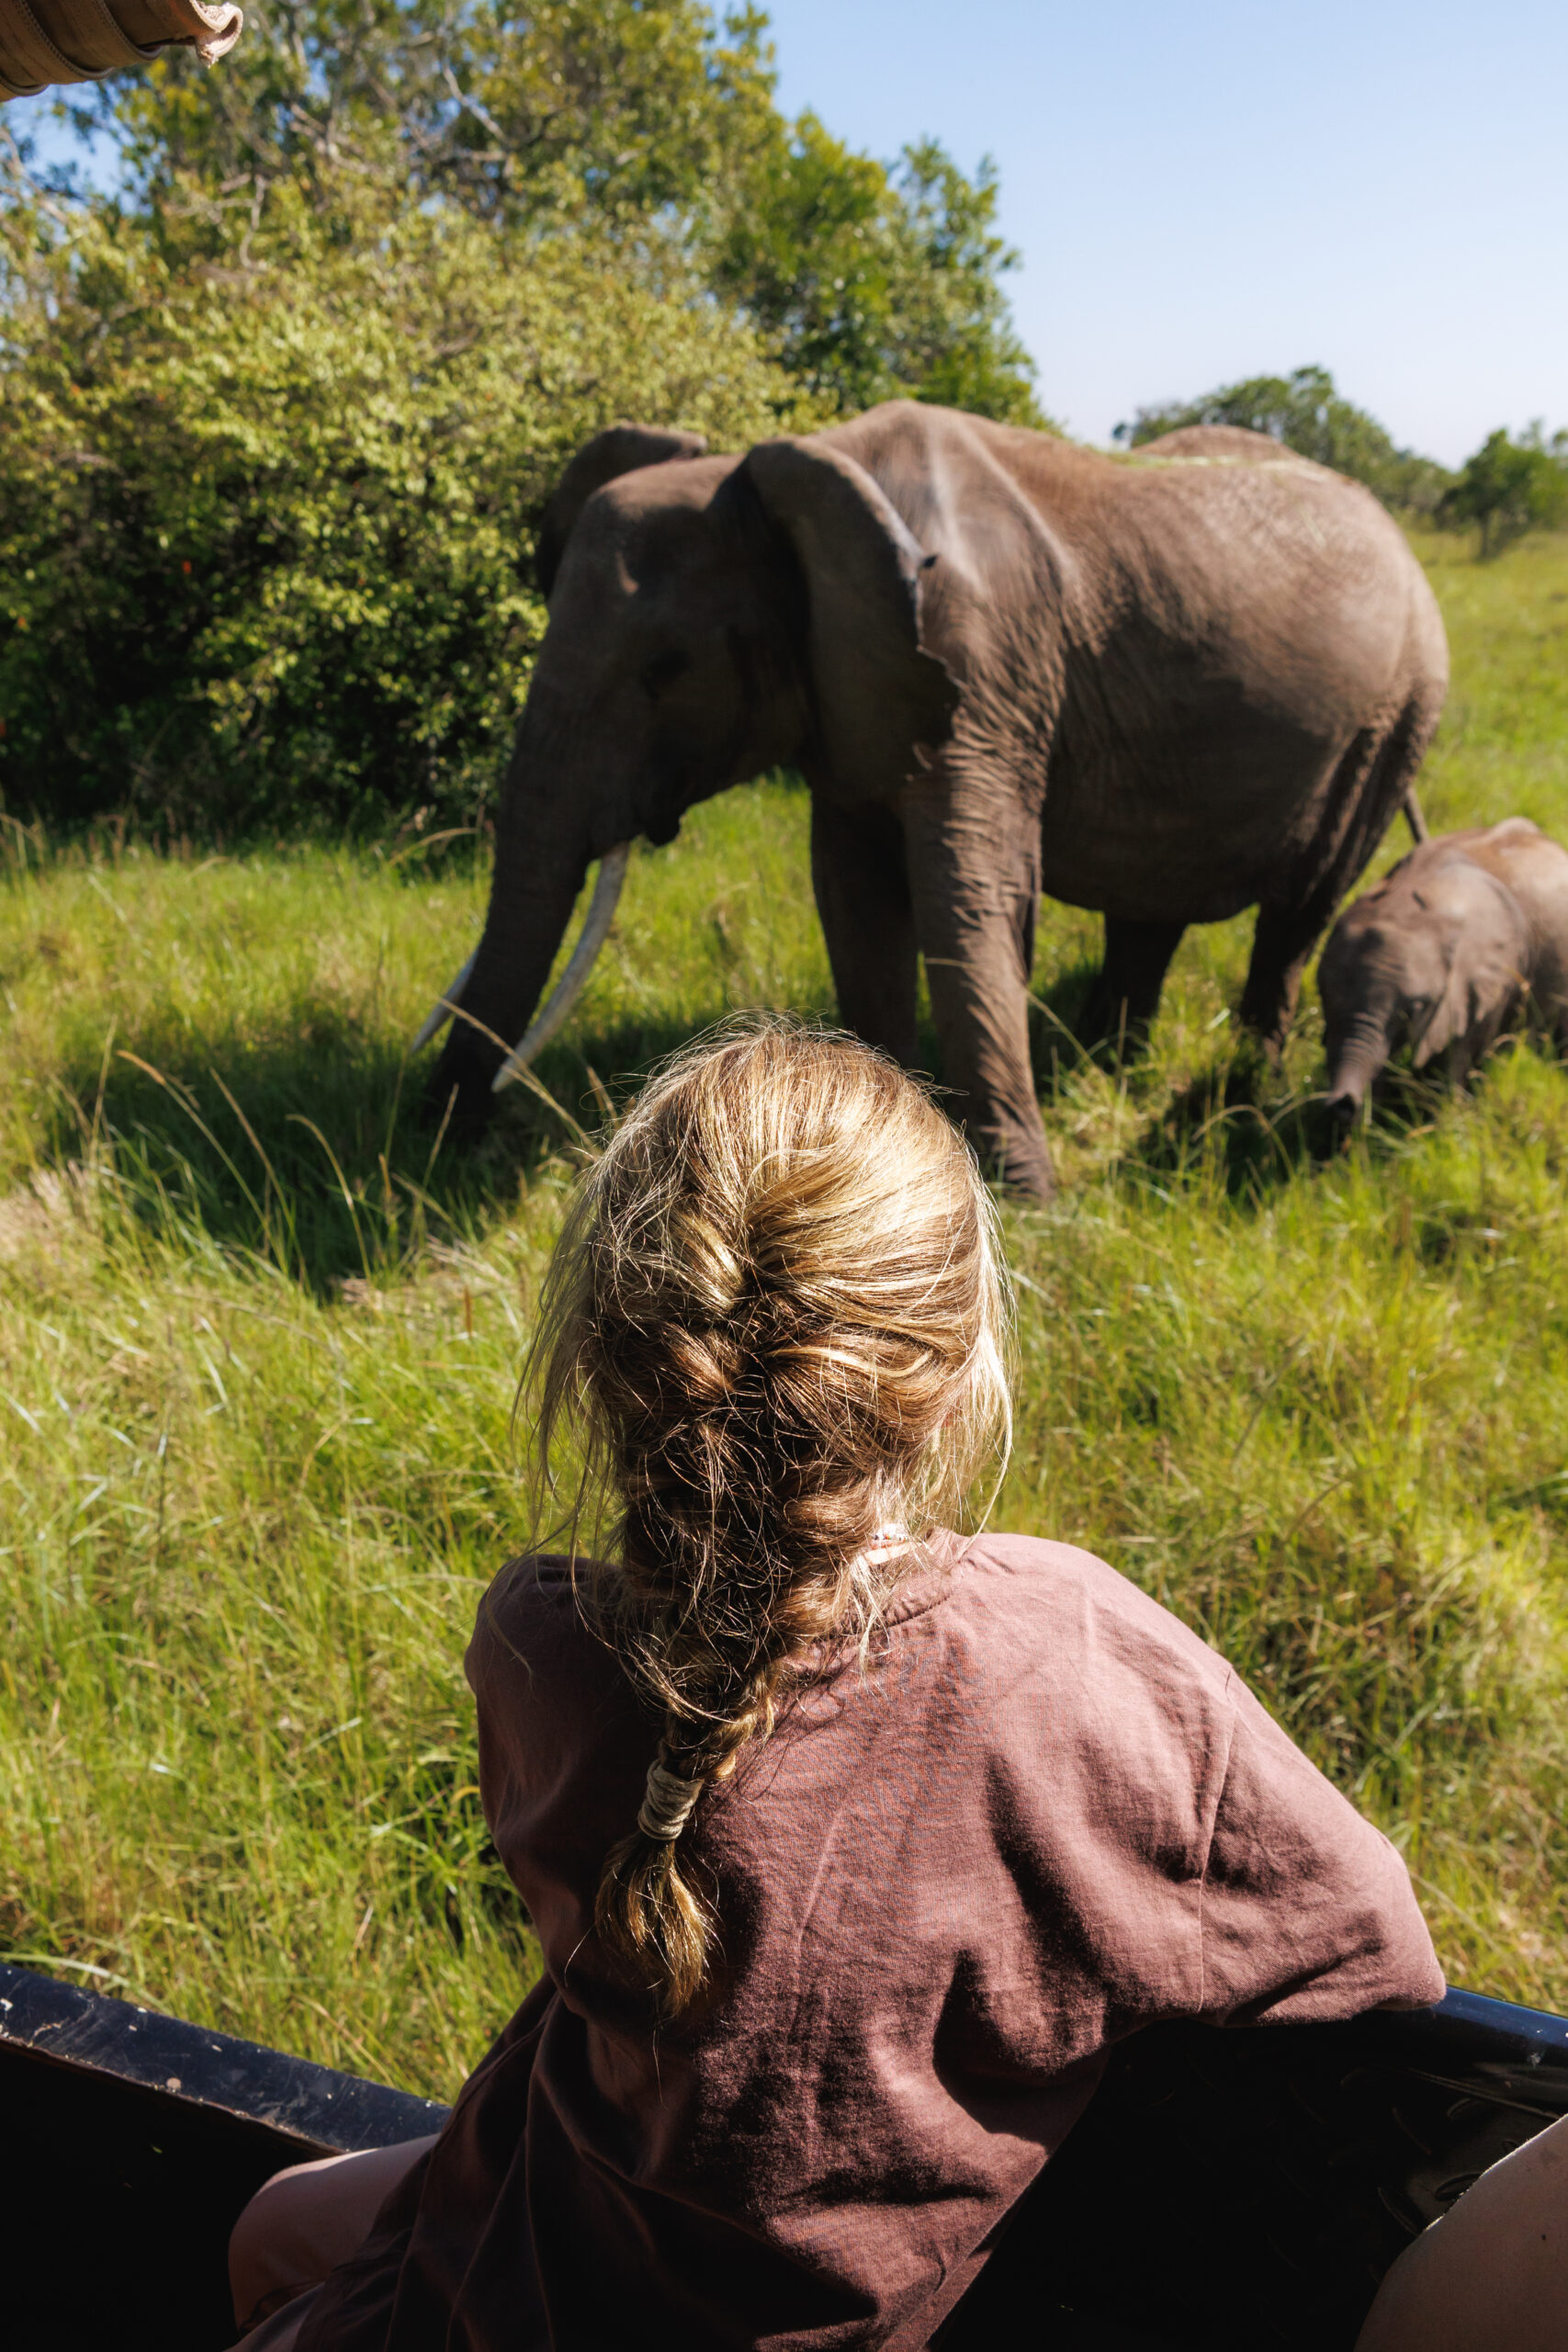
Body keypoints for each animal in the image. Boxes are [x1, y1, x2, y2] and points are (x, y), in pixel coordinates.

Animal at [418, 401, 1448, 1197]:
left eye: (665, 669)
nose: (437, 1142)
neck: (811, 469)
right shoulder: (851, 694)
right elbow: (853, 899)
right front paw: (874, 1133)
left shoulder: (982, 671)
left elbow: (969, 899)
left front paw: (1025, 1197)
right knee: (1151, 907)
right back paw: (1107, 1062)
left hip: (1391, 724)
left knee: (1298, 911)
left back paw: (1238, 1077)